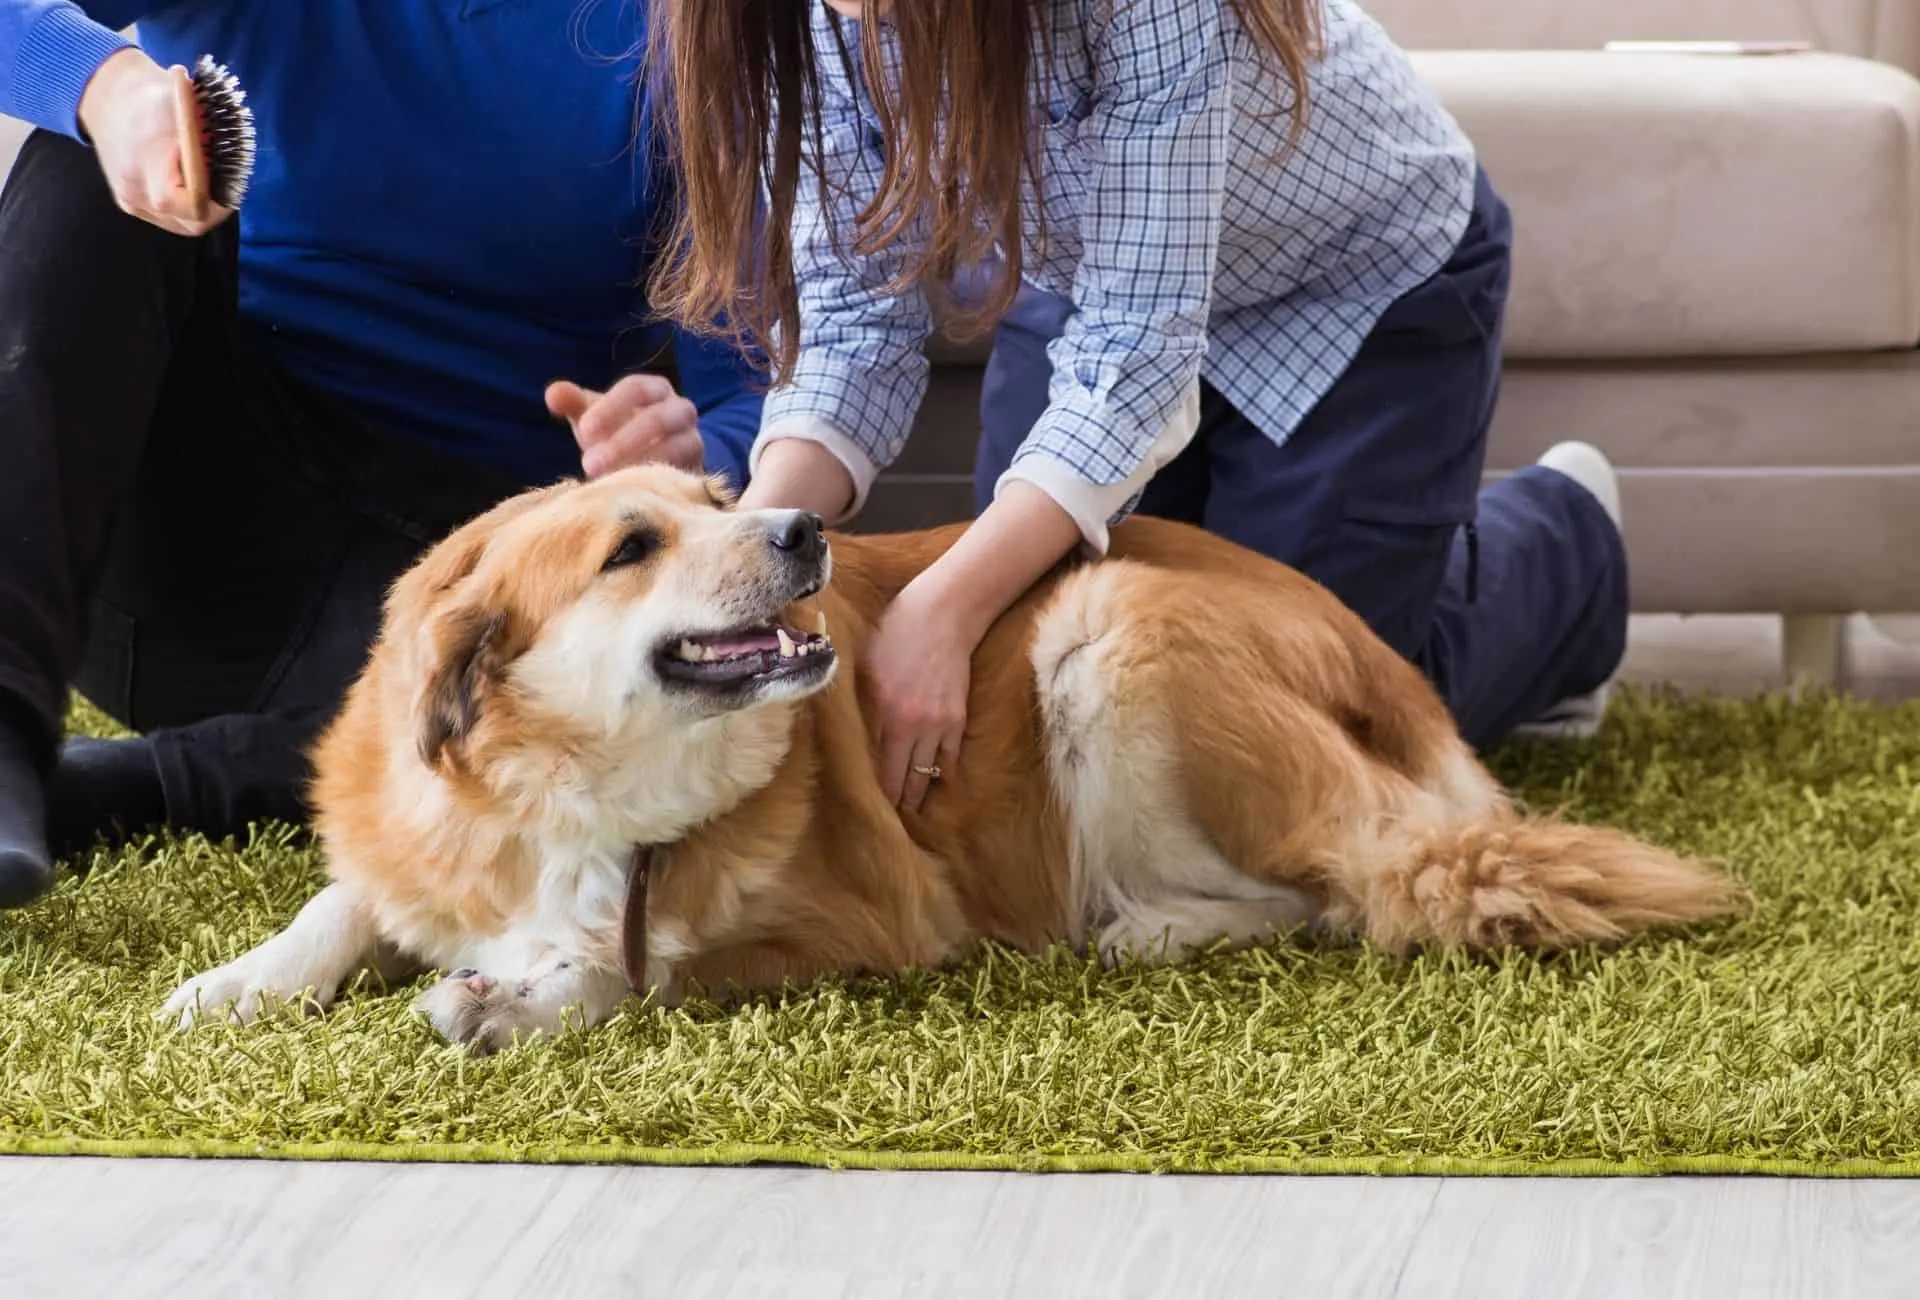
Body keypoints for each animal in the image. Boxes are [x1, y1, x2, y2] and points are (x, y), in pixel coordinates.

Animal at [161, 460, 1743, 1052]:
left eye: (718, 494)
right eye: (632, 546)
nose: (804, 528)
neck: (568, 801)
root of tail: (1397, 675)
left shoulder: (868, 920)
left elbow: (638, 964)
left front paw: (525, 996)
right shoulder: (416, 842)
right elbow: (341, 900)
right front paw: (240, 980)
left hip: (1109, 630)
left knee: (1338, 891)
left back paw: (1150, 928)